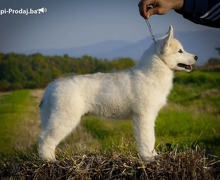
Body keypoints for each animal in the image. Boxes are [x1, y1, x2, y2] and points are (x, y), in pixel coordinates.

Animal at [38, 25, 198, 162]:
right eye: (180, 51)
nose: (196, 57)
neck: (151, 74)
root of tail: (51, 87)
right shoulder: (144, 116)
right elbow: (147, 138)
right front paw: (148, 158)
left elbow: (150, 139)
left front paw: (153, 156)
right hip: (64, 118)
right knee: (45, 139)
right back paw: (49, 160)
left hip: (50, 117)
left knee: (42, 136)